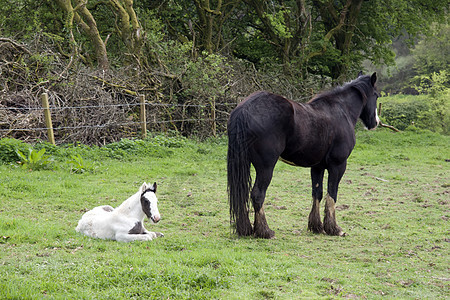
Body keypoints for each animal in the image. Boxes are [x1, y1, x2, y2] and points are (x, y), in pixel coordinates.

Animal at [229, 71, 380, 238]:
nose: (375, 122)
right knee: (257, 194)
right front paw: (334, 228)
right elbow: (332, 194)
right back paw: (265, 231)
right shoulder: (338, 165)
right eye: (376, 95)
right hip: (265, 167)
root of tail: (245, 109)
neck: (341, 111)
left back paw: (246, 229)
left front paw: (316, 226)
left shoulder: (317, 167)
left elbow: (317, 193)